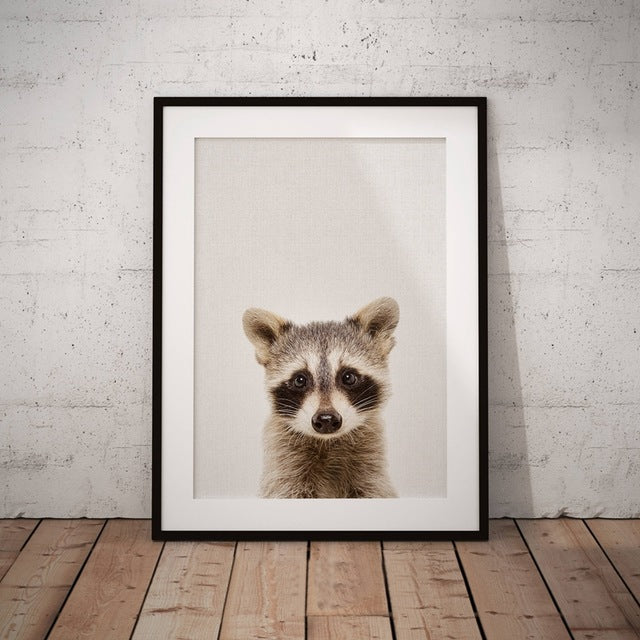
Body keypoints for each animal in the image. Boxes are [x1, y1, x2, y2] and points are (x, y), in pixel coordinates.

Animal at [242, 297, 399, 499]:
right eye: (300, 380)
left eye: (348, 377)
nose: (326, 419)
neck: (328, 442)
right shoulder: (285, 467)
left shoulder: (370, 466)